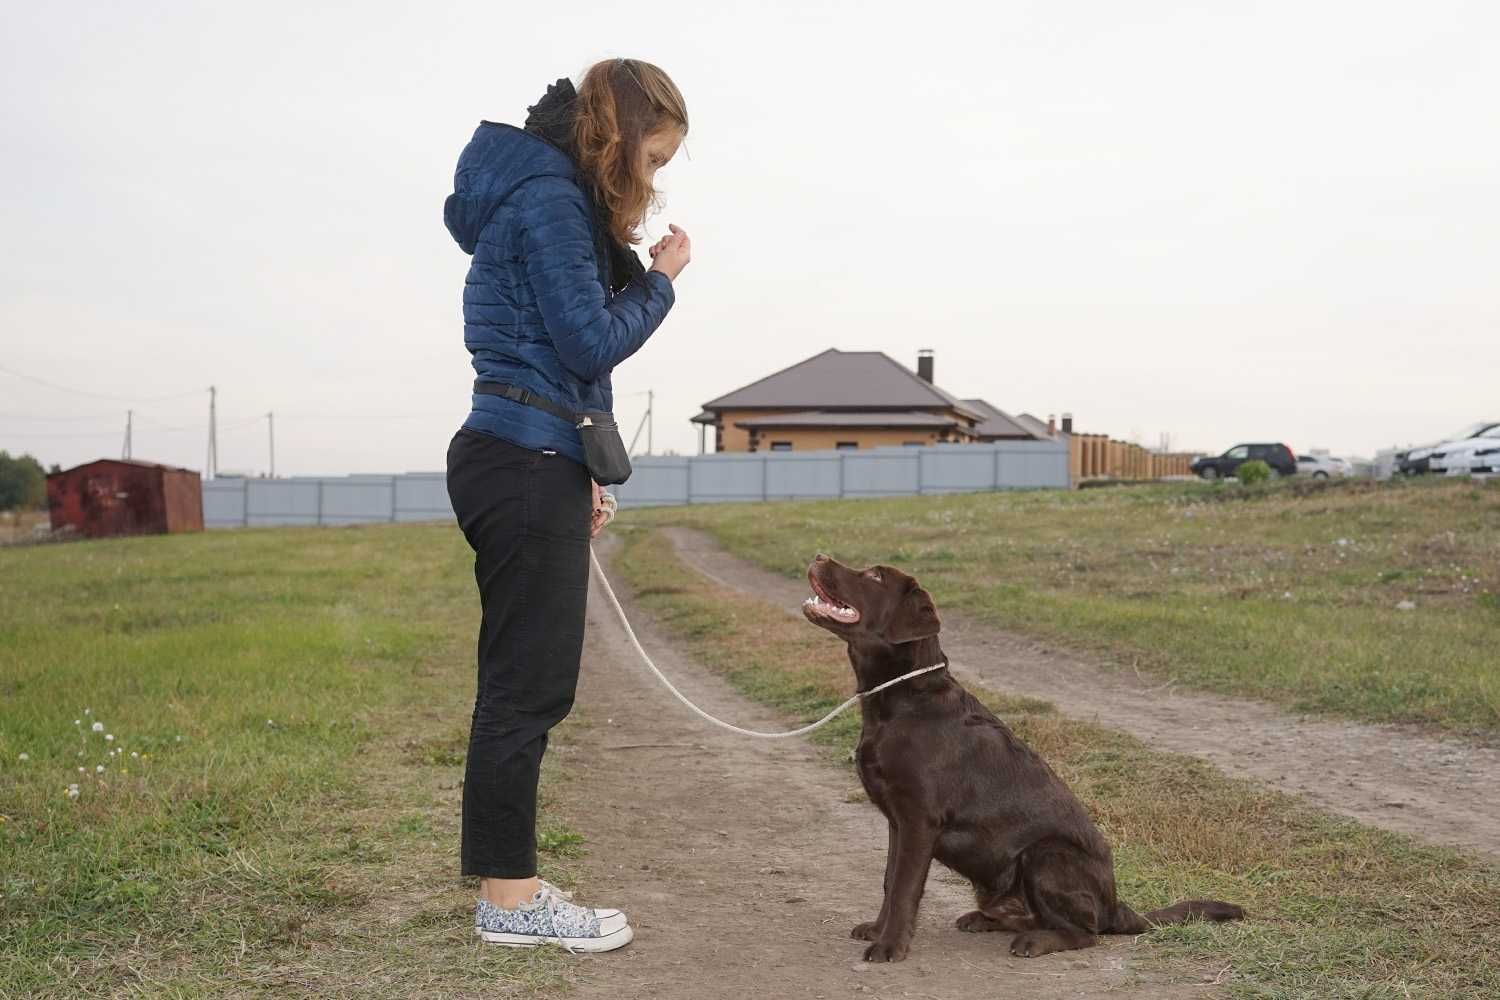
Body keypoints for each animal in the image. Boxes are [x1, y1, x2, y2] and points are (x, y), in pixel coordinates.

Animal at [804, 554, 1248, 959]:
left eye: (875, 576)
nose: (819, 555)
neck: (902, 701)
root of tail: (1118, 906)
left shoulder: (918, 820)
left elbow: (903, 887)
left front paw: (890, 946)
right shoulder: (897, 821)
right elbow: (888, 878)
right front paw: (878, 930)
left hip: (1046, 855)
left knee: (1086, 933)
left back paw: (1034, 941)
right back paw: (986, 919)